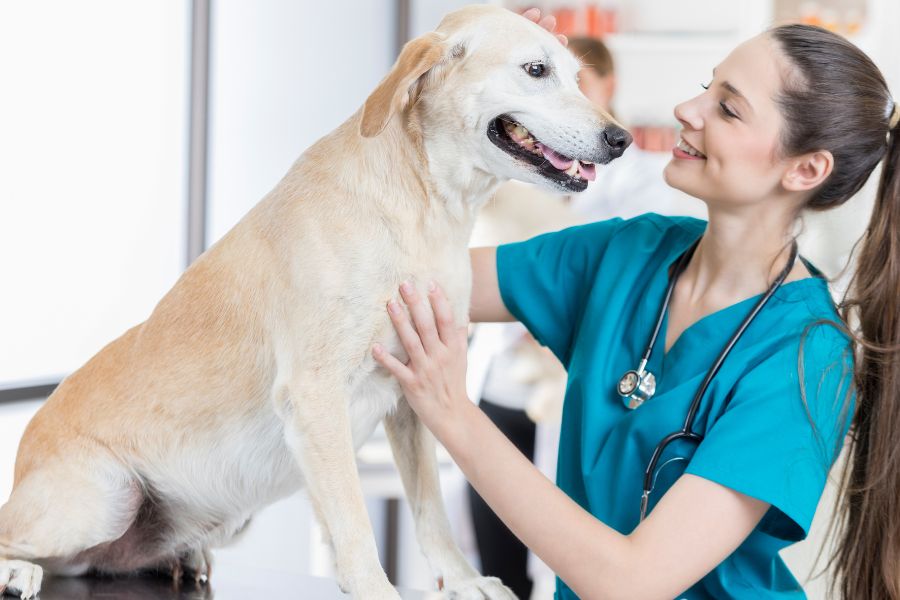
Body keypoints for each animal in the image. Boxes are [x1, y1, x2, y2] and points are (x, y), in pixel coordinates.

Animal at [0, 5, 628, 600]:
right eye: (536, 70)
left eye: (577, 77)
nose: (620, 140)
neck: (423, 211)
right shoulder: (316, 395)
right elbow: (353, 521)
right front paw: (375, 588)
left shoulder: (416, 394)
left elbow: (430, 508)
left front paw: (462, 579)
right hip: (99, 501)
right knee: (21, 540)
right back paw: (19, 571)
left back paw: (180, 558)